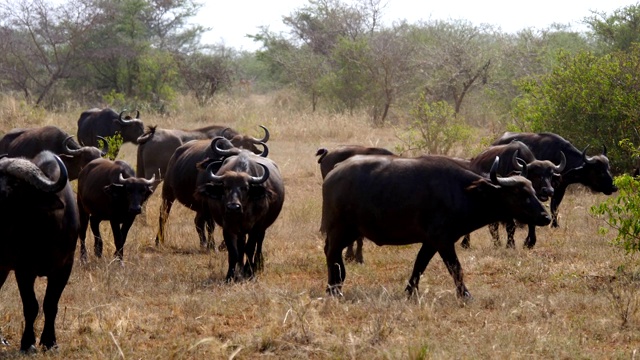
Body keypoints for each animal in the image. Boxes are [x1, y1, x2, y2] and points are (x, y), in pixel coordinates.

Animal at [0, 150, 79, 350]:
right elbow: (31, 306)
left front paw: (50, 341)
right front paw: (28, 342)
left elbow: (51, 304)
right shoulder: (23, 270)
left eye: (13, 186)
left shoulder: (65, 267)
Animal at [196, 149, 284, 282]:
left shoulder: (255, 227)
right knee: (241, 245)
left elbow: (250, 248)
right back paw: (240, 268)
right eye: (226, 187)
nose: (233, 207)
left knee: (258, 244)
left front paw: (250, 273)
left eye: (245, 187)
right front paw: (231, 276)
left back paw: (257, 266)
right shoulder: (228, 228)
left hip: (262, 227)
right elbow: (234, 252)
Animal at [320, 155, 552, 298]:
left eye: (532, 190)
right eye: (520, 193)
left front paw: (410, 291)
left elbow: (419, 266)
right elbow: (456, 268)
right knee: (332, 253)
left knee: (333, 253)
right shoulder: (444, 241)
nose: (546, 217)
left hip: (350, 232)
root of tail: (334, 173)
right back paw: (333, 288)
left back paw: (337, 284)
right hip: (339, 229)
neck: (460, 192)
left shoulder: (431, 242)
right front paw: (465, 294)